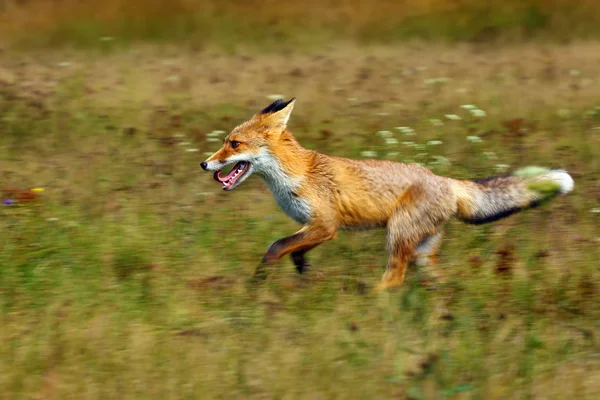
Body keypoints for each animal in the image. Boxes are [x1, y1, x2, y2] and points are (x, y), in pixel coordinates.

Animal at [203, 98, 576, 290]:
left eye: (234, 144)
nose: (204, 164)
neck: (297, 175)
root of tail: (446, 180)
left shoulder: (326, 225)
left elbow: (276, 247)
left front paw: (260, 280)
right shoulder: (313, 227)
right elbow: (295, 253)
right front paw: (309, 275)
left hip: (397, 236)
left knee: (394, 279)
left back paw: (370, 297)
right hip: (421, 252)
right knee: (435, 279)